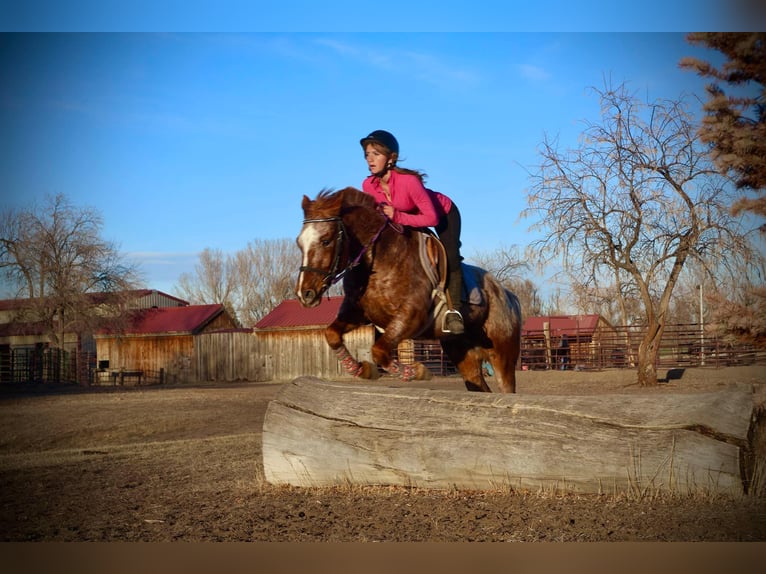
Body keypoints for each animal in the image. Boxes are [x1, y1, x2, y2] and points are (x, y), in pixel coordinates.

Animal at [295, 187, 522, 393]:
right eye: (299, 243)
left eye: (326, 240)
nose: (305, 294)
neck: (379, 260)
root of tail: (508, 295)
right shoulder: (358, 312)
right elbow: (331, 334)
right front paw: (360, 369)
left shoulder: (411, 317)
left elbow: (379, 350)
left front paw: (418, 372)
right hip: (462, 353)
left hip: (502, 354)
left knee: (506, 386)